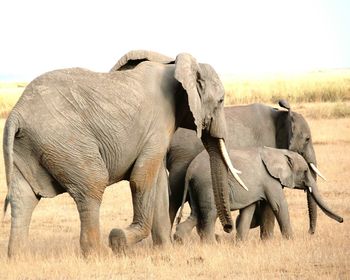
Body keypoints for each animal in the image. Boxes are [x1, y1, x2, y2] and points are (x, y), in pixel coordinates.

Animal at [3, 49, 243, 256]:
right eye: (221, 100)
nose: (227, 229)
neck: (175, 66)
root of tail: (17, 112)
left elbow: (158, 186)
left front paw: (165, 251)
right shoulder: (156, 127)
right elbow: (141, 179)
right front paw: (119, 240)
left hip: (30, 145)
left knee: (23, 197)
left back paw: (20, 258)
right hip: (65, 140)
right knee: (93, 184)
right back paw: (99, 254)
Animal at [168, 100, 324, 238]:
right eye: (307, 139)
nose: (310, 232)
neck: (281, 115)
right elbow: (270, 202)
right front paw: (267, 240)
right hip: (183, 158)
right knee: (175, 195)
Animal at [174, 147, 344, 243]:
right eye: (306, 171)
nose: (342, 220)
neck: (279, 152)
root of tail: (190, 170)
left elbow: (249, 210)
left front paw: (241, 244)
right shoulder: (269, 179)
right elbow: (279, 205)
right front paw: (291, 241)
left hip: (197, 187)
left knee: (196, 214)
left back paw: (180, 240)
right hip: (207, 185)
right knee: (209, 214)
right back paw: (212, 244)